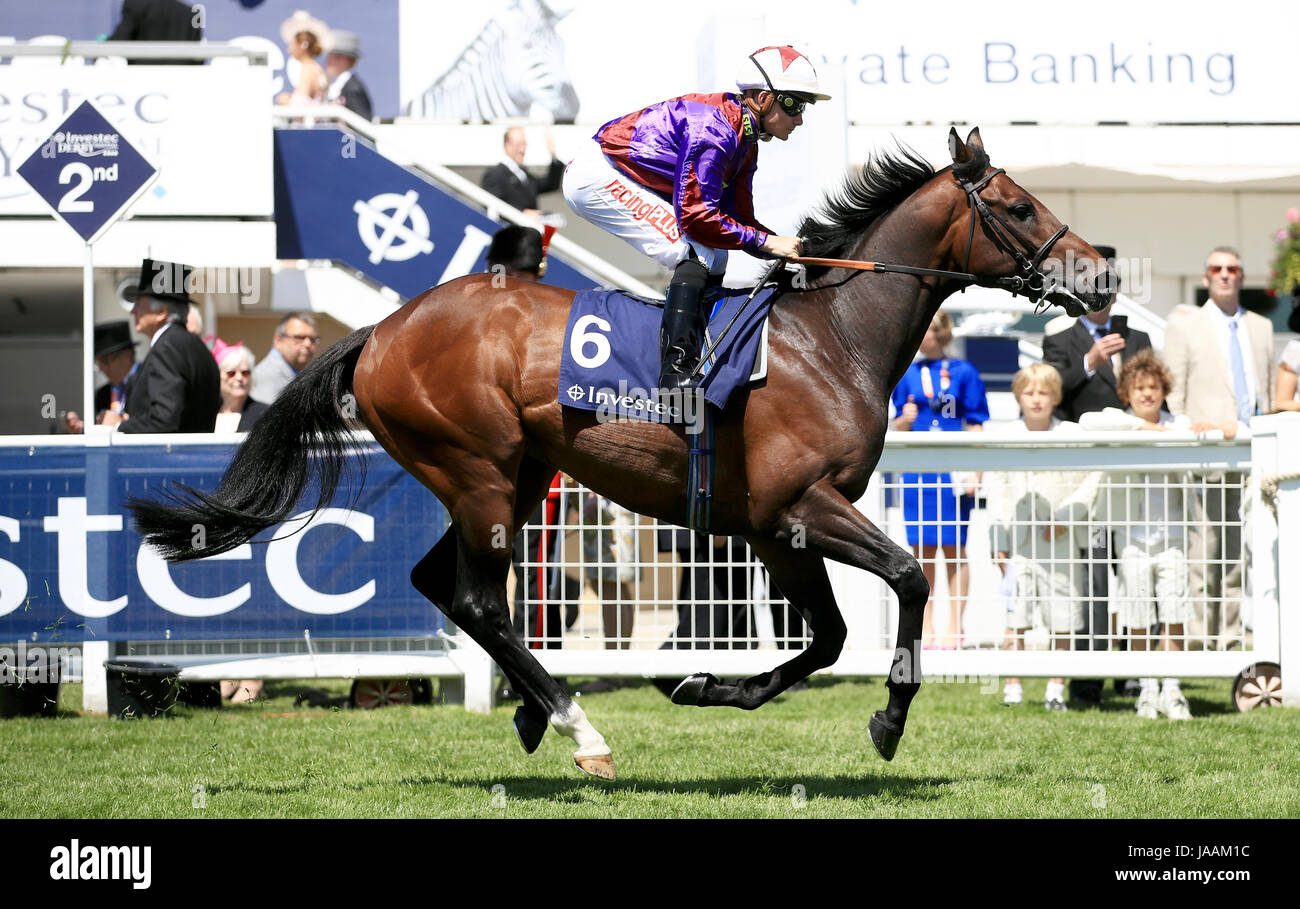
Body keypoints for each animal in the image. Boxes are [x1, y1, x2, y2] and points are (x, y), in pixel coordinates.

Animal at [129, 128, 1107, 780]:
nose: (1101, 273)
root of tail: (381, 329)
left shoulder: (771, 528)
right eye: (1017, 206)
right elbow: (903, 580)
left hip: (518, 476)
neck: (831, 337)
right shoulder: (798, 507)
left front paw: (708, 684)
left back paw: (534, 713)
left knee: (439, 582)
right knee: (480, 599)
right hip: (477, 469)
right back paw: (577, 728)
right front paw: (890, 718)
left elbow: (828, 637)